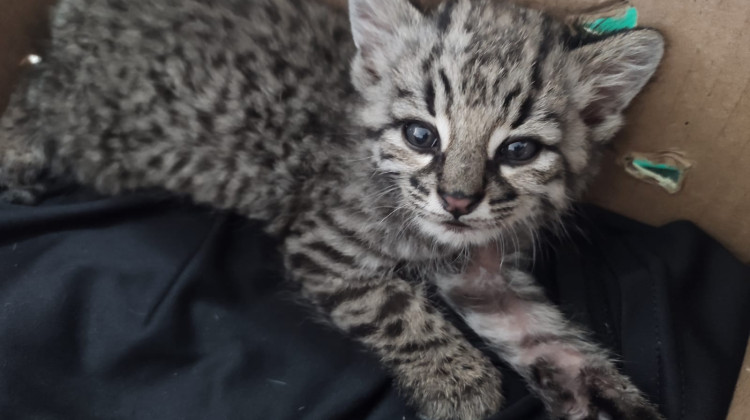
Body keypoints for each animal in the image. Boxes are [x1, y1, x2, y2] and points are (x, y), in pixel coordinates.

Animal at [0, 0, 668, 418]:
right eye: (421, 135)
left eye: (519, 150)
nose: (457, 199)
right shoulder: (323, 242)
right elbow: (394, 308)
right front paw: (461, 383)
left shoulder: (484, 270)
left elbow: (549, 339)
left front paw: (608, 396)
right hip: (94, 131)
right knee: (34, 91)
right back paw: (17, 152)